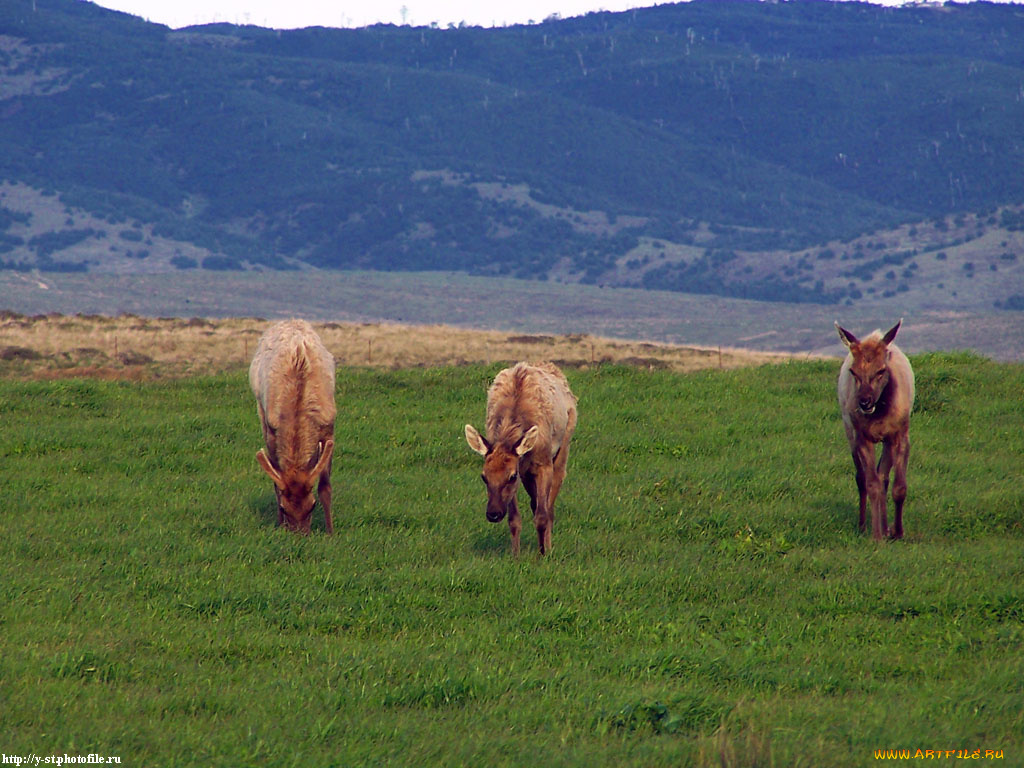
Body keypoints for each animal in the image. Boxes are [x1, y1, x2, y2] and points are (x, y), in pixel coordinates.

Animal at [249, 319, 337, 536]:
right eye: (283, 508)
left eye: (312, 505)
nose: (299, 536)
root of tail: (289, 320)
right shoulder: (272, 428)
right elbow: (276, 480)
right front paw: (280, 525)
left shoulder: (329, 425)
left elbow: (325, 486)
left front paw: (330, 531)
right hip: (260, 410)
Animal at [464, 364, 577, 557]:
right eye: (484, 477)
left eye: (511, 476)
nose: (493, 513)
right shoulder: (521, 467)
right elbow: (514, 519)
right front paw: (515, 555)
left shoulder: (542, 464)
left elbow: (542, 515)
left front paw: (543, 554)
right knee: (534, 502)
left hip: (563, 447)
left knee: (550, 505)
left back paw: (548, 544)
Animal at [835, 319, 917, 540]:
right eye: (853, 371)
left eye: (881, 370)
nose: (864, 401)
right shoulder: (862, 436)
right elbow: (871, 483)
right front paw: (876, 535)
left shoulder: (900, 433)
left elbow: (899, 486)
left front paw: (898, 532)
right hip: (849, 429)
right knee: (862, 477)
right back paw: (864, 525)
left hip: (887, 439)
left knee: (883, 477)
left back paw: (886, 526)